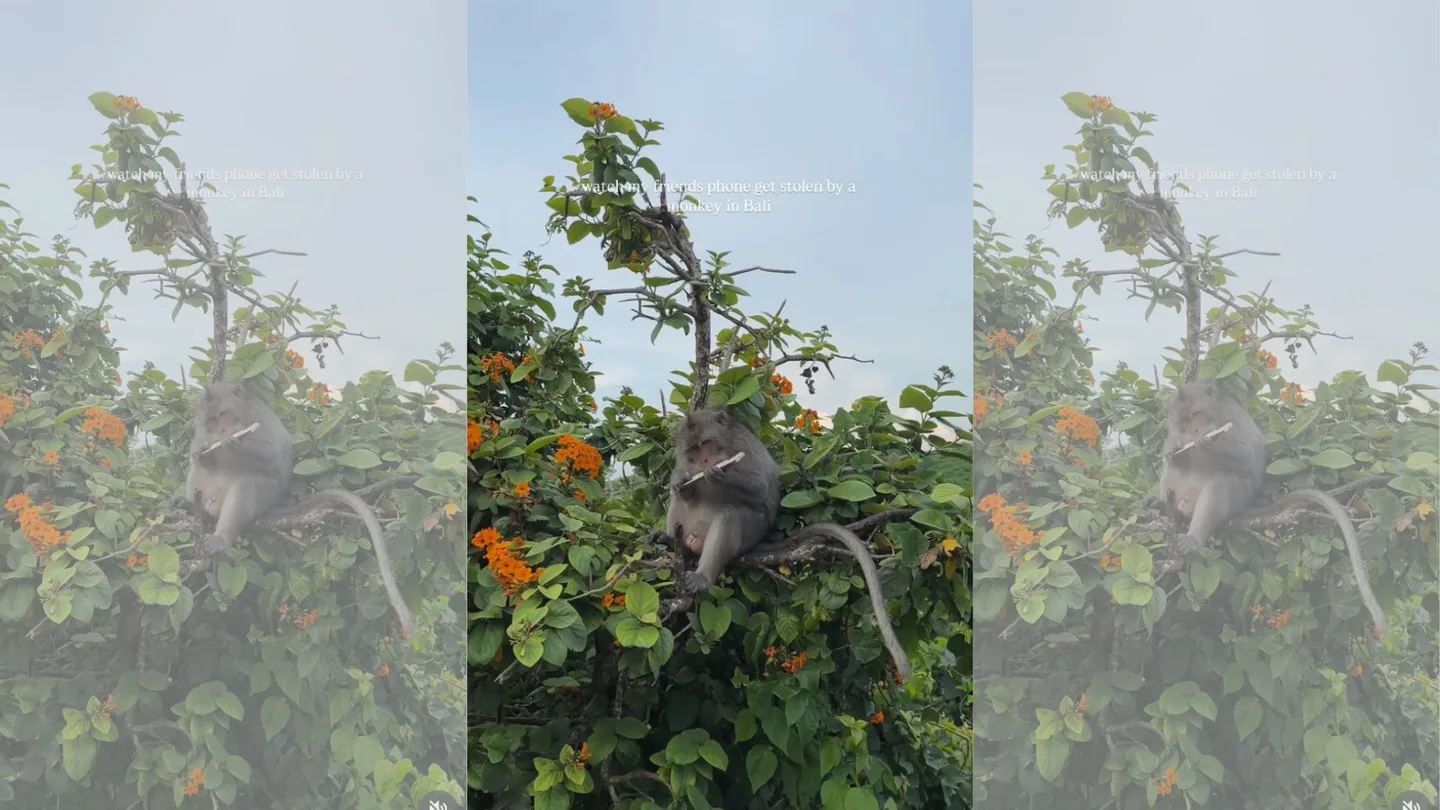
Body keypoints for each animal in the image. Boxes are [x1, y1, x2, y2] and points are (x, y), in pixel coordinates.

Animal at [184, 381, 415, 637]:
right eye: (211, 421)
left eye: (223, 414)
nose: (222, 432)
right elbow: (200, 454)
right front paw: (204, 452)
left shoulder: (257, 418)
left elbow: (272, 454)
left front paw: (234, 444)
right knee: (198, 472)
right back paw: (186, 505)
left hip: (265, 497)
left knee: (246, 480)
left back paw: (221, 538)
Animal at [649, 407, 913, 681]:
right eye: (693, 450)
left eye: (706, 444)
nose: (703, 463)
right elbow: (683, 489)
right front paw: (681, 482)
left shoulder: (741, 445)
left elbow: (758, 485)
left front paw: (716, 475)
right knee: (680, 505)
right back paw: (671, 541)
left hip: (751, 531)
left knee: (730, 515)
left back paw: (703, 576)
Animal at [1159, 378, 1386, 637]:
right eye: (1185, 421)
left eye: (1196, 414)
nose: (1195, 431)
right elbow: (1174, 456)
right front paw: (1174, 451)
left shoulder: (1229, 417)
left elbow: (1245, 455)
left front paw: (1208, 444)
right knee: (1173, 474)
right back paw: (1160, 506)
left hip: (1240, 496)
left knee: (1220, 481)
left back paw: (1193, 539)